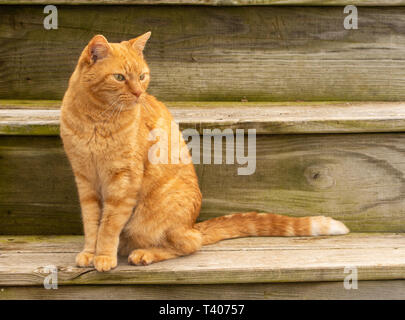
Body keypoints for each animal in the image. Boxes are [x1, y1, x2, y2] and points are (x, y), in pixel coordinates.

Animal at [60, 33, 348, 272]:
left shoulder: (123, 181)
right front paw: (90, 252)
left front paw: (103, 256)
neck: (96, 119)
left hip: (155, 217)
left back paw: (145, 254)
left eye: (142, 76)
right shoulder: (84, 179)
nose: (139, 93)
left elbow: (108, 225)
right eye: (119, 77)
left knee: (189, 244)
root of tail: (192, 224)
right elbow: (92, 223)